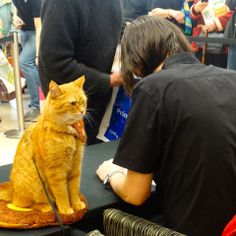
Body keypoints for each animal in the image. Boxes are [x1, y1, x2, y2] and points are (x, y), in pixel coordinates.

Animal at [0, 75, 87, 214]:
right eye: (73, 103)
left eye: (84, 101)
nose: (83, 111)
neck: (69, 134)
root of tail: (12, 190)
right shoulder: (56, 172)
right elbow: (62, 193)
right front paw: (66, 209)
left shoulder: (75, 168)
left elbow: (74, 190)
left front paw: (77, 204)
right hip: (36, 184)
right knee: (24, 204)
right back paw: (45, 206)